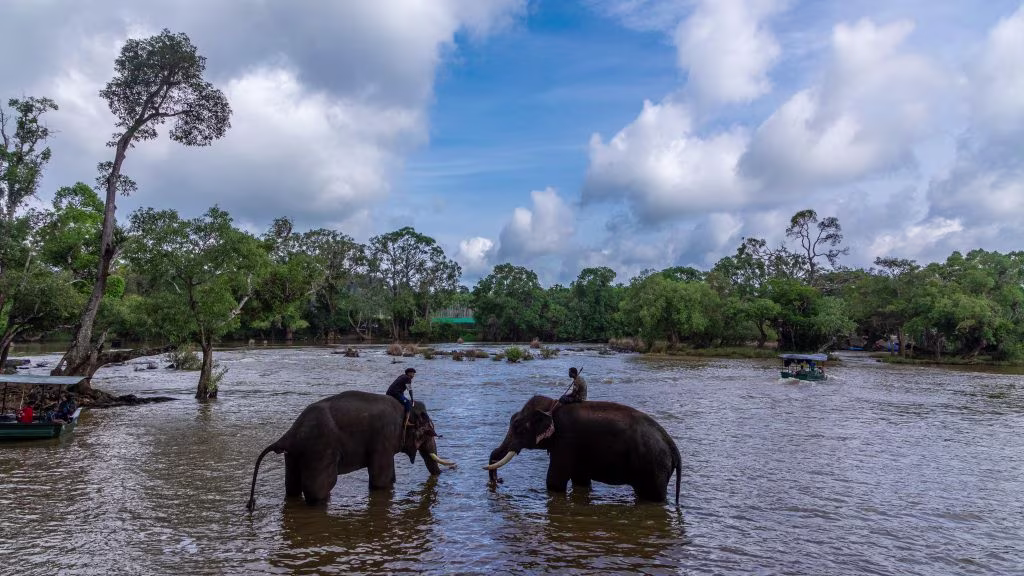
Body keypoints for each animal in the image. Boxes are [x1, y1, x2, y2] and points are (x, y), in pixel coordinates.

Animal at [247, 390, 456, 510]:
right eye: (429, 432)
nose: (454, 468)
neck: (405, 407)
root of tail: (288, 435)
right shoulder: (384, 437)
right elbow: (380, 482)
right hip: (319, 451)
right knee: (318, 489)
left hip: (294, 455)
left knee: (292, 488)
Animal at [484, 395, 682, 504]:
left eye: (519, 427)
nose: (498, 481)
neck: (552, 405)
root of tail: (672, 446)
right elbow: (580, 481)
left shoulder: (565, 441)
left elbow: (554, 482)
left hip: (653, 468)